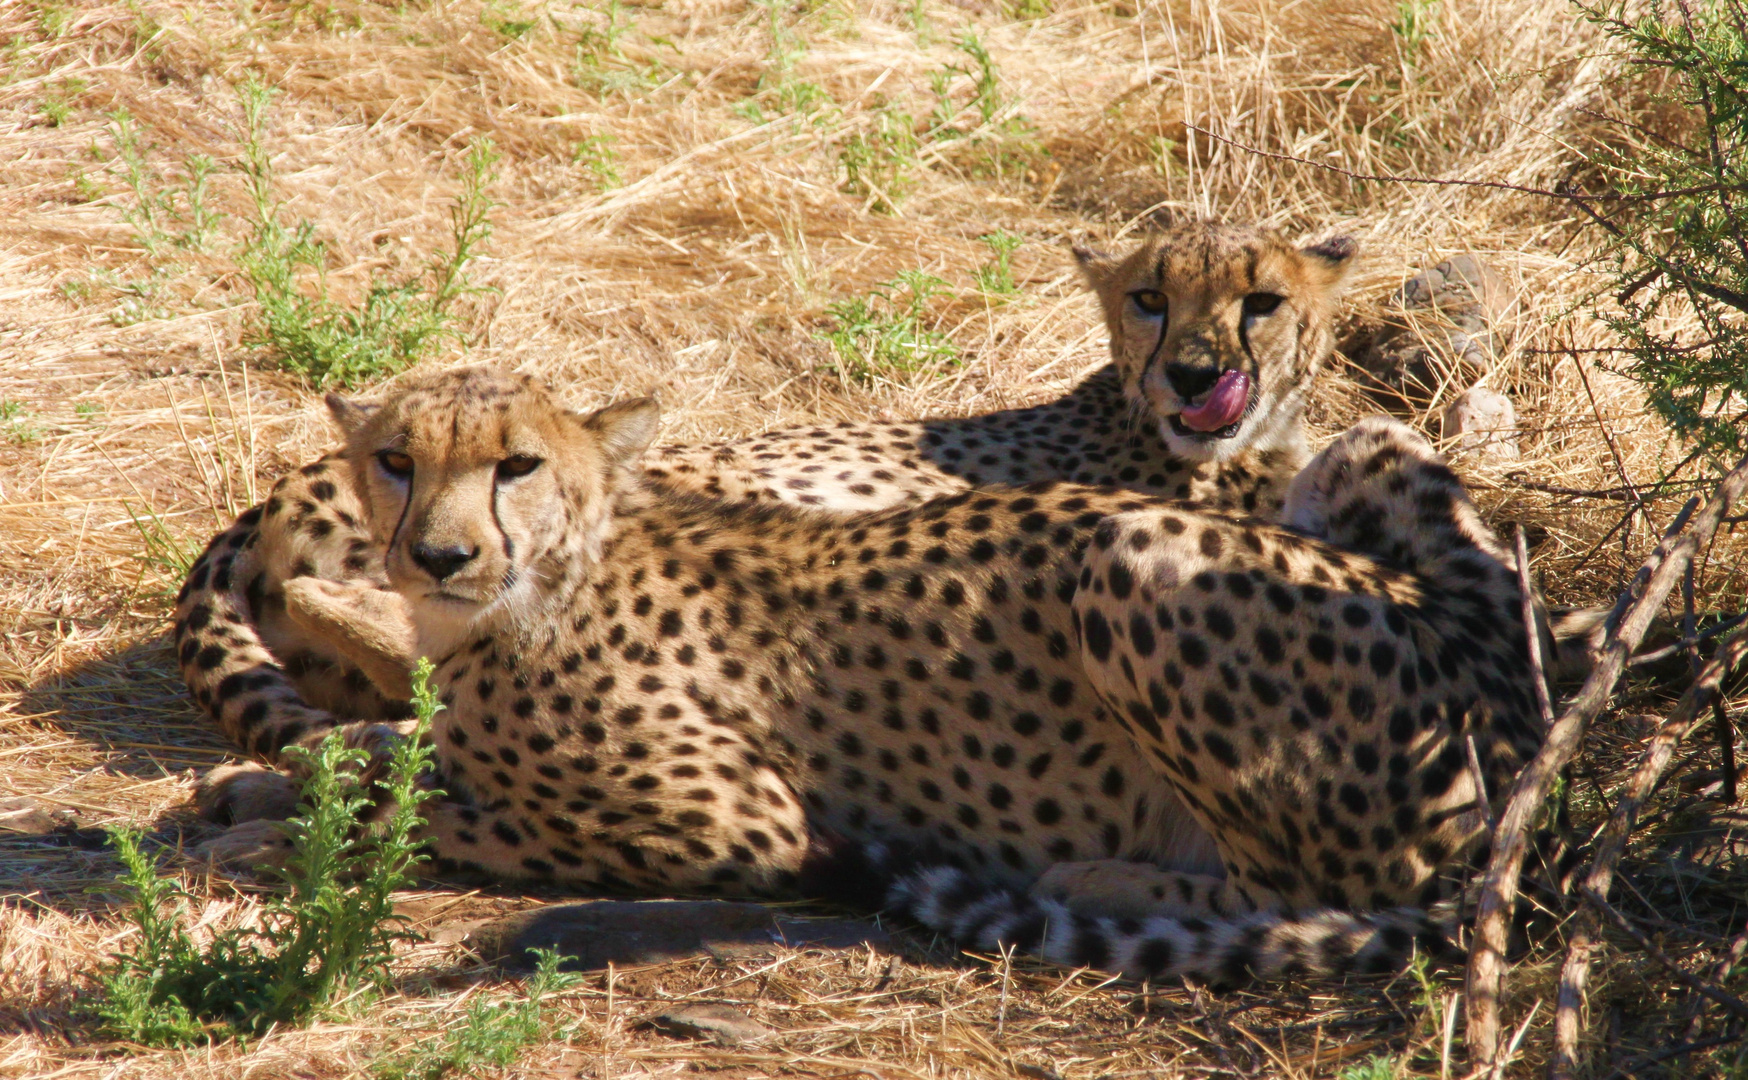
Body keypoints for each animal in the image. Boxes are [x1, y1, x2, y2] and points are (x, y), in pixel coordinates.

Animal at [180, 365, 1559, 978]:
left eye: (515, 465)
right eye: (397, 461)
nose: (440, 550)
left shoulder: (737, 826)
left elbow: (454, 818)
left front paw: (277, 833)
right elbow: (396, 755)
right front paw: (271, 785)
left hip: (1136, 548)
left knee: (1320, 886)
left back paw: (1095, 874)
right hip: (1348, 464)